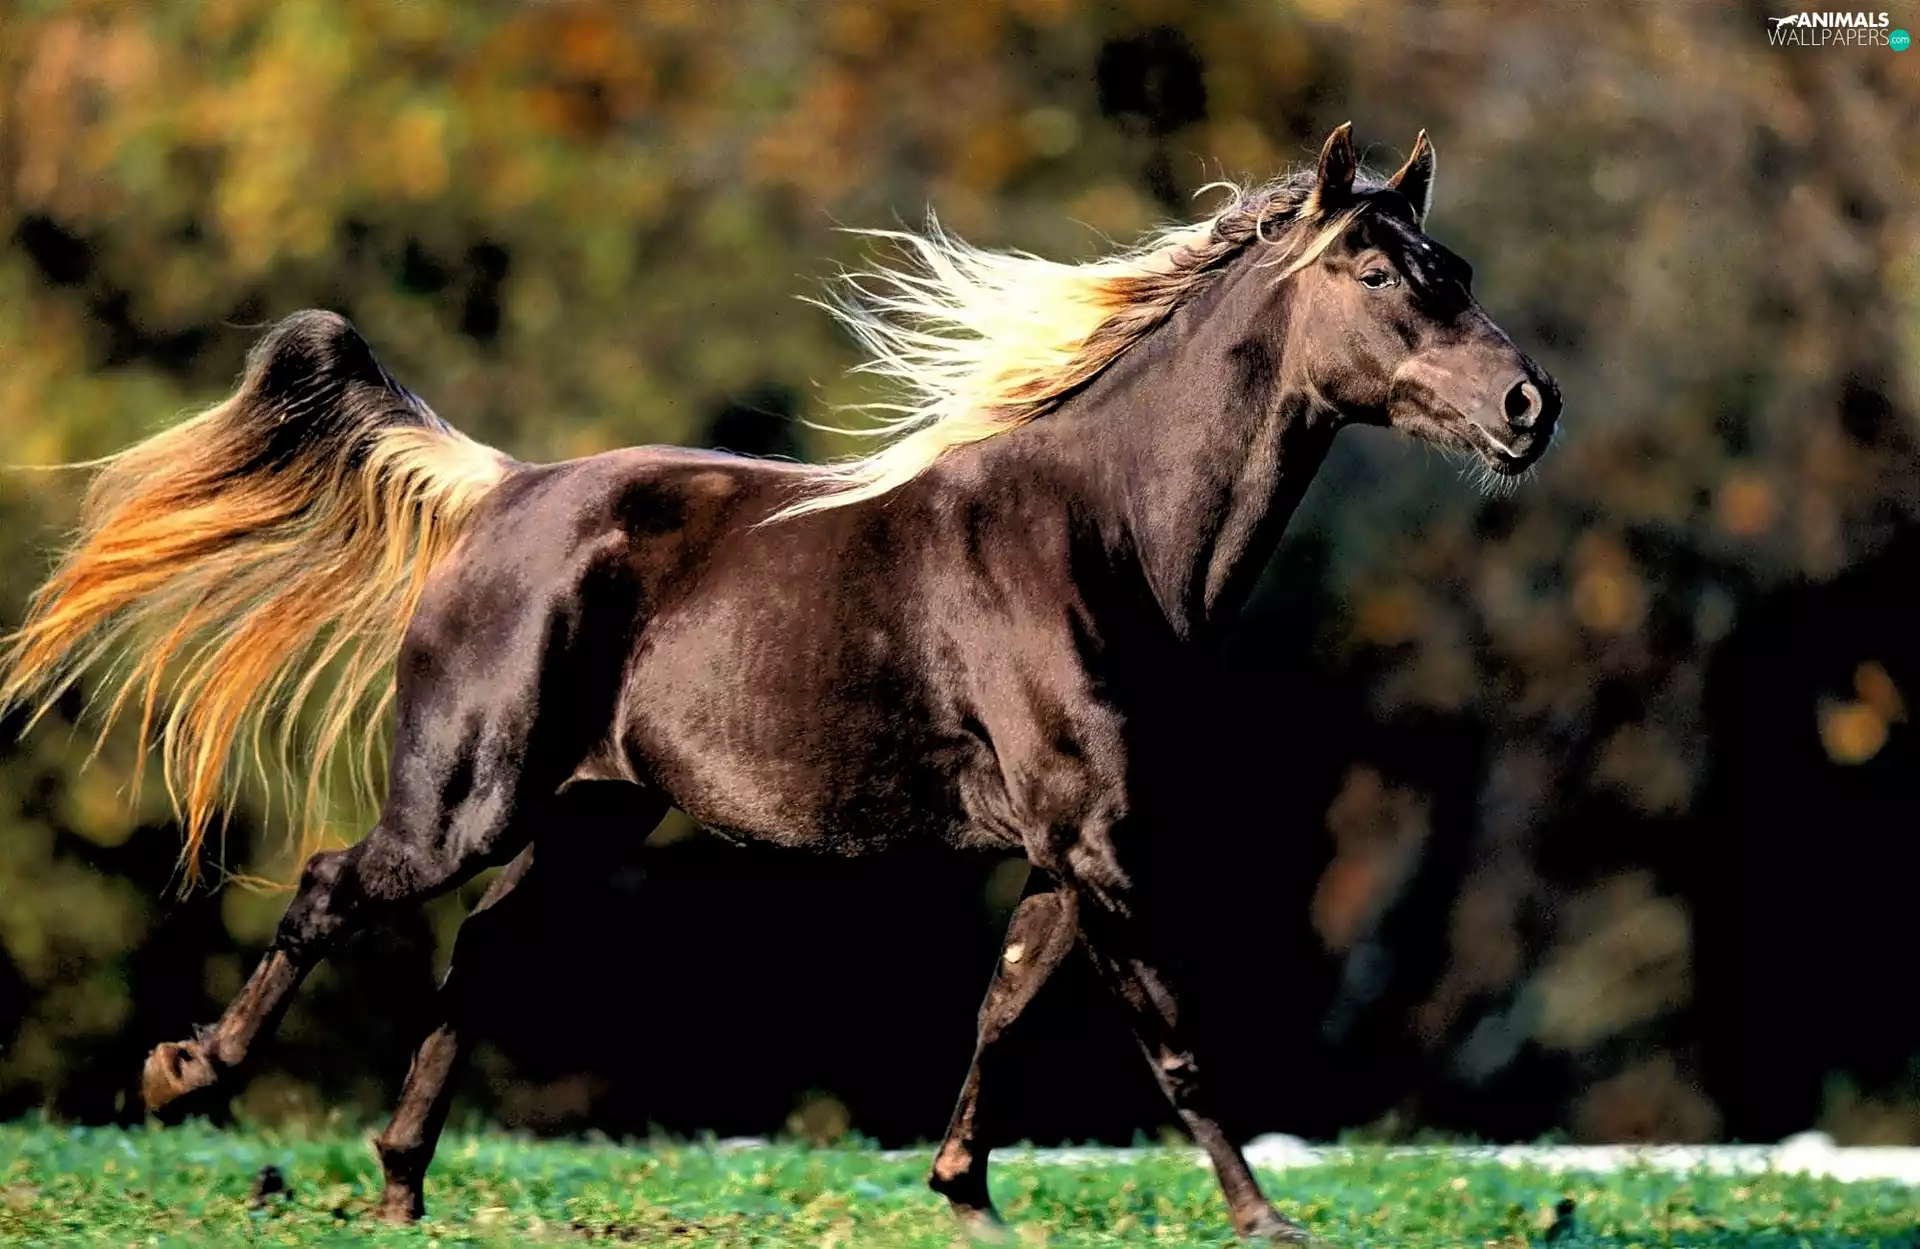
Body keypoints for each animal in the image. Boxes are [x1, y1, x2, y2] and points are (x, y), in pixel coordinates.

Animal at [0, 124, 1558, 1241]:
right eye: (1380, 274)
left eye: (1465, 270)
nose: (1529, 408)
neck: (1105, 537)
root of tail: (502, 493)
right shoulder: (1101, 844)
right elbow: (1170, 1037)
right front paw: (1263, 1218)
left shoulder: (1077, 847)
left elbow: (1007, 1000)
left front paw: (964, 1192)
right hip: (464, 801)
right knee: (335, 887)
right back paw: (192, 1076)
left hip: (585, 815)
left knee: (479, 956)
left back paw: (397, 1182)